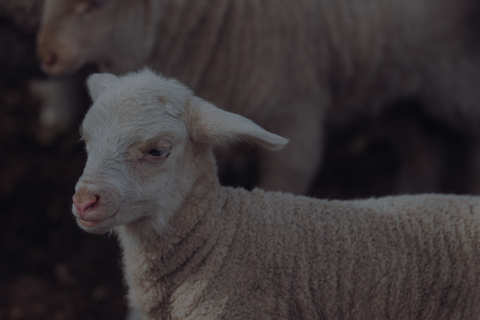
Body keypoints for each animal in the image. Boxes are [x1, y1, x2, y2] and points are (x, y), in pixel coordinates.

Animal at [38, 0, 480, 194]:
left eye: (95, 5)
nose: (46, 56)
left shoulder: (295, 116)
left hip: (454, 77)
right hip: (397, 81)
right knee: (424, 147)